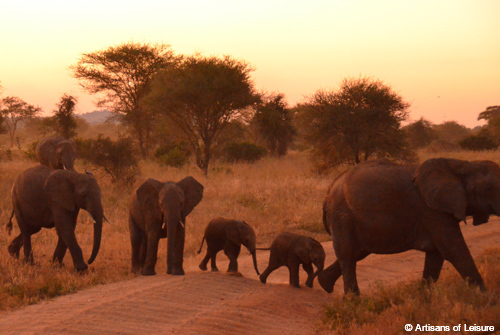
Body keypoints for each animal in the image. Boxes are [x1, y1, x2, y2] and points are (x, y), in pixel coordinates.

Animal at [316, 159, 500, 296]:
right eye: (489, 188)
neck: (463, 165)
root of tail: (327, 194)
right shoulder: (432, 210)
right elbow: (454, 250)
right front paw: (485, 298)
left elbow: (436, 256)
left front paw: (425, 298)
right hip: (342, 215)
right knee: (348, 254)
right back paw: (352, 301)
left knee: (358, 252)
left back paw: (324, 284)